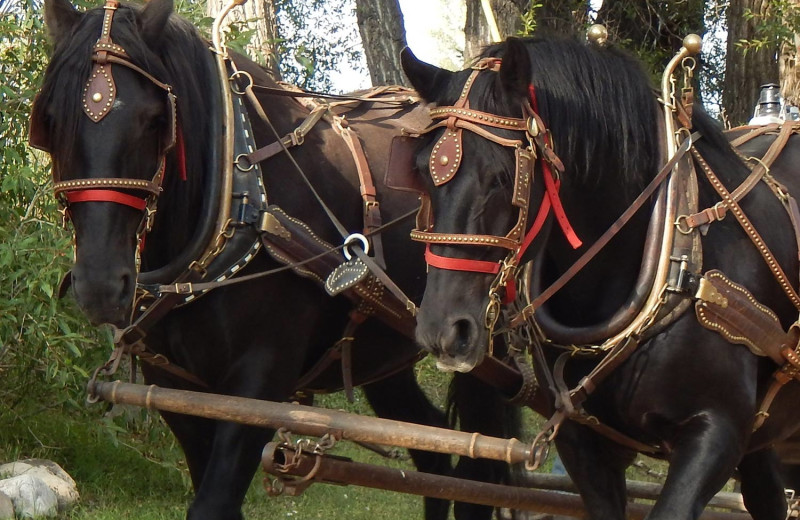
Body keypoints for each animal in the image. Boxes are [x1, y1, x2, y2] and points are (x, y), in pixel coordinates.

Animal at [32, 0, 512, 516]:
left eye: (156, 120)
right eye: (50, 121)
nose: (101, 285)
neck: (236, 193)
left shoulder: (261, 380)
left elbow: (212, 503)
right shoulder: (178, 389)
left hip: (481, 341)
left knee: (481, 471)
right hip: (379, 346)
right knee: (434, 455)